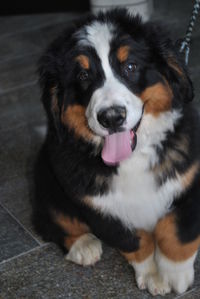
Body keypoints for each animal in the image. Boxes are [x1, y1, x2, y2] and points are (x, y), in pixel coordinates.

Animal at [32, 8, 200, 298]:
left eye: (130, 67)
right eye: (83, 76)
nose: (111, 117)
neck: (132, 159)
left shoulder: (190, 179)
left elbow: (177, 230)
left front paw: (174, 273)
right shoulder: (97, 204)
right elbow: (135, 241)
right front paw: (153, 275)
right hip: (48, 182)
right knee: (51, 219)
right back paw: (83, 246)